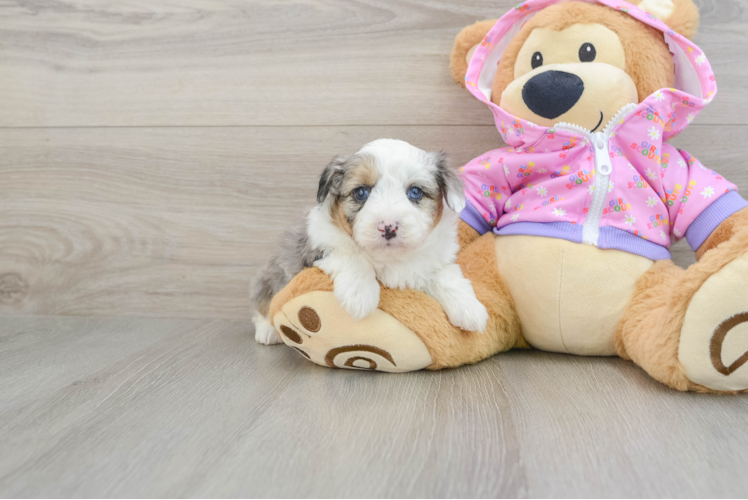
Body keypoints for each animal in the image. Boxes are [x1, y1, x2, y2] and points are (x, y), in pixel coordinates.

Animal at [251, 139, 490, 346]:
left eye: (415, 192)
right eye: (361, 192)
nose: (388, 227)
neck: (391, 257)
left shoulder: (437, 258)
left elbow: (447, 276)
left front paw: (470, 309)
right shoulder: (318, 243)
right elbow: (351, 254)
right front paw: (360, 295)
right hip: (272, 277)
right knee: (265, 304)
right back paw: (268, 331)